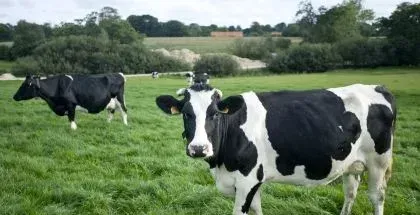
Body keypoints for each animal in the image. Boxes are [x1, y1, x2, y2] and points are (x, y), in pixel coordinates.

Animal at [156, 82, 396, 215]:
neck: (220, 165)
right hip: (351, 163)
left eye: (215, 113)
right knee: (351, 192)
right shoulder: (252, 182)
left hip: (379, 162)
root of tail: (377, 87)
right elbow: (257, 209)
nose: (198, 148)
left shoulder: (247, 180)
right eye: (186, 114)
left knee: (377, 196)